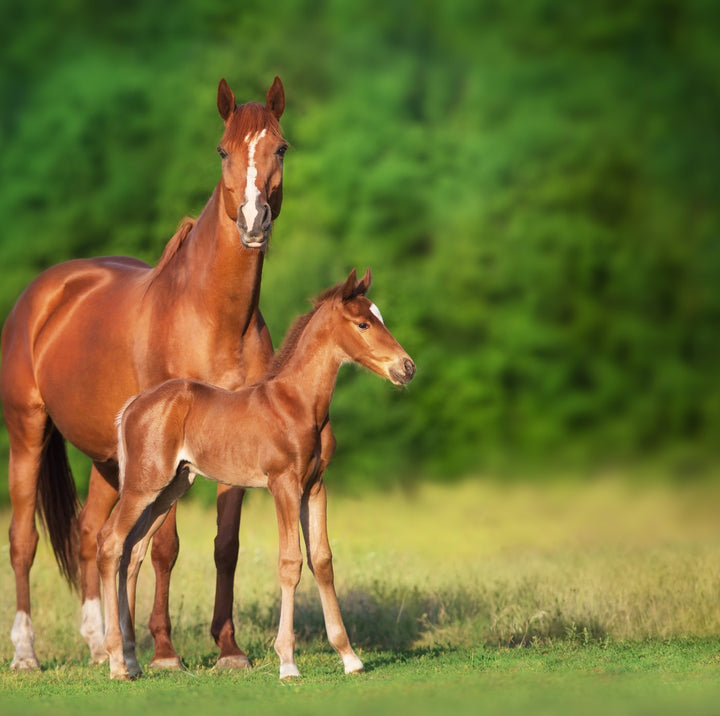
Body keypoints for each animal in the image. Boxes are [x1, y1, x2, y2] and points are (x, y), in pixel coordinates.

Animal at [0, 77, 287, 671]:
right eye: (223, 150)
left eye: (281, 148)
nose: (253, 223)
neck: (211, 316)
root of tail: (43, 294)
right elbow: (164, 546)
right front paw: (164, 650)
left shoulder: (234, 438)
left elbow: (226, 547)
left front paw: (228, 648)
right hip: (27, 432)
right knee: (22, 541)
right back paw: (26, 653)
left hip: (109, 460)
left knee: (90, 534)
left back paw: (97, 643)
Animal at [97, 269, 415, 680]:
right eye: (363, 323)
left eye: (381, 318)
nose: (407, 368)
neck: (298, 404)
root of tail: (132, 406)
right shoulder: (283, 484)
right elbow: (290, 563)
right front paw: (287, 662)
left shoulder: (315, 486)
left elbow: (322, 561)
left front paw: (350, 657)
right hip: (143, 485)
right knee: (110, 542)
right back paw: (116, 662)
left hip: (170, 488)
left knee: (132, 550)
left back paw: (133, 660)